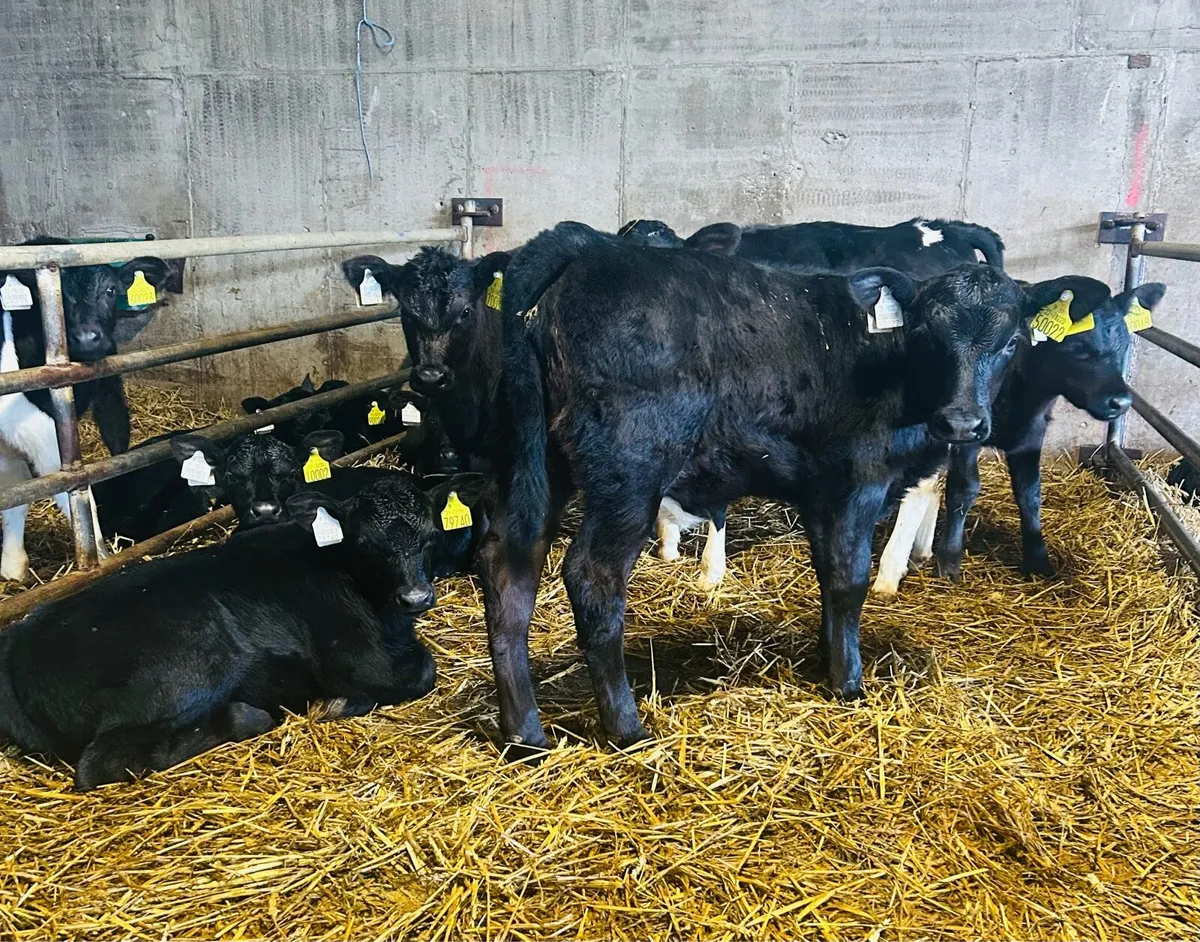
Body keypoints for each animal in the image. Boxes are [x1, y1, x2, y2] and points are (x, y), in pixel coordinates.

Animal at [0, 472, 490, 790]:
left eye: (430, 537)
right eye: (366, 543)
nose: (417, 597)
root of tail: (18, 644)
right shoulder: (360, 660)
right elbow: (423, 670)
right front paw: (338, 704)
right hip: (185, 667)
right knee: (99, 764)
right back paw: (245, 715)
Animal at [473, 221, 1109, 754]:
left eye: (1011, 342)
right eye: (931, 333)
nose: (962, 423)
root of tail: (586, 246)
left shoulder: (824, 492)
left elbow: (829, 577)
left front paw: (829, 660)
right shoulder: (859, 483)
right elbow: (850, 580)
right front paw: (850, 683)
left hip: (531, 463)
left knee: (509, 569)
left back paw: (524, 734)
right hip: (630, 472)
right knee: (592, 577)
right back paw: (626, 727)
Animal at [873, 282, 1161, 592]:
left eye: (1125, 344)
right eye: (1079, 346)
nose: (1121, 401)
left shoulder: (1032, 434)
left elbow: (1029, 492)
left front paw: (1038, 559)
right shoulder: (967, 433)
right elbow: (963, 489)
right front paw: (949, 561)